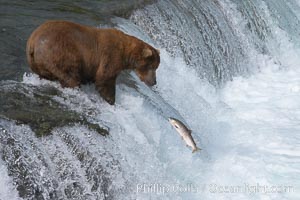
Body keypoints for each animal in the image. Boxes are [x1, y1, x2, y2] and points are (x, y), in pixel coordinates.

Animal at [27, 20, 161, 104]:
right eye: (152, 67)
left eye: (156, 67)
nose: (154, 82)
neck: (125, 53)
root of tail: (33, 41)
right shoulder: (111, 55)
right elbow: (105, 77)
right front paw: (111, 100)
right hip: (60, 52)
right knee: (70, 75)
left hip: (37, 63)